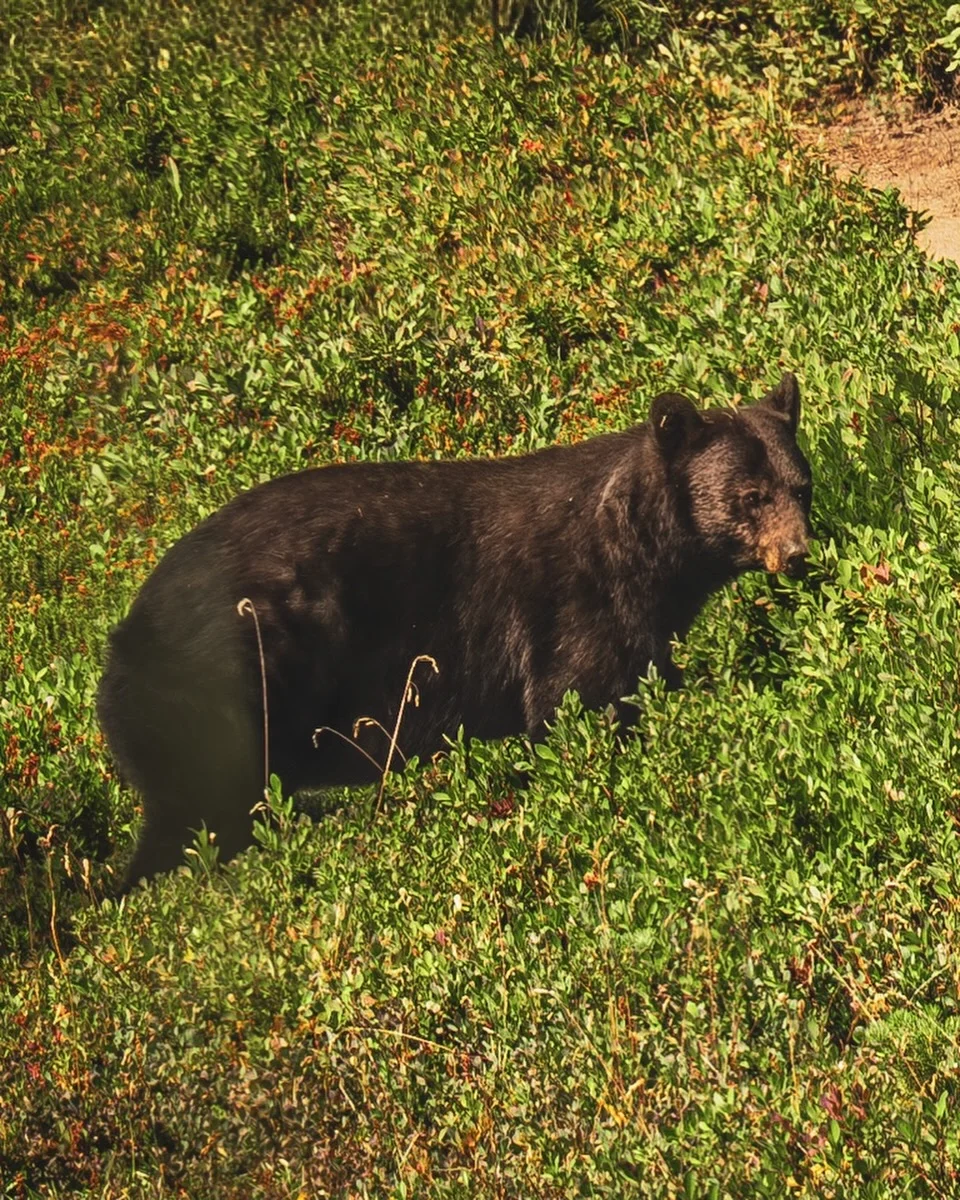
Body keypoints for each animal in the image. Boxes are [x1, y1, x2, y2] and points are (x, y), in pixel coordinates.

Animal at [97, 372, 812, 889]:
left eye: (800, 485)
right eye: (751, 497)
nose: (800, 554)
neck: (642, 547)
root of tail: (122, 638)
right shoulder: (581, 607)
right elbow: (581, 702)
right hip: (218, 700)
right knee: (194, 821)